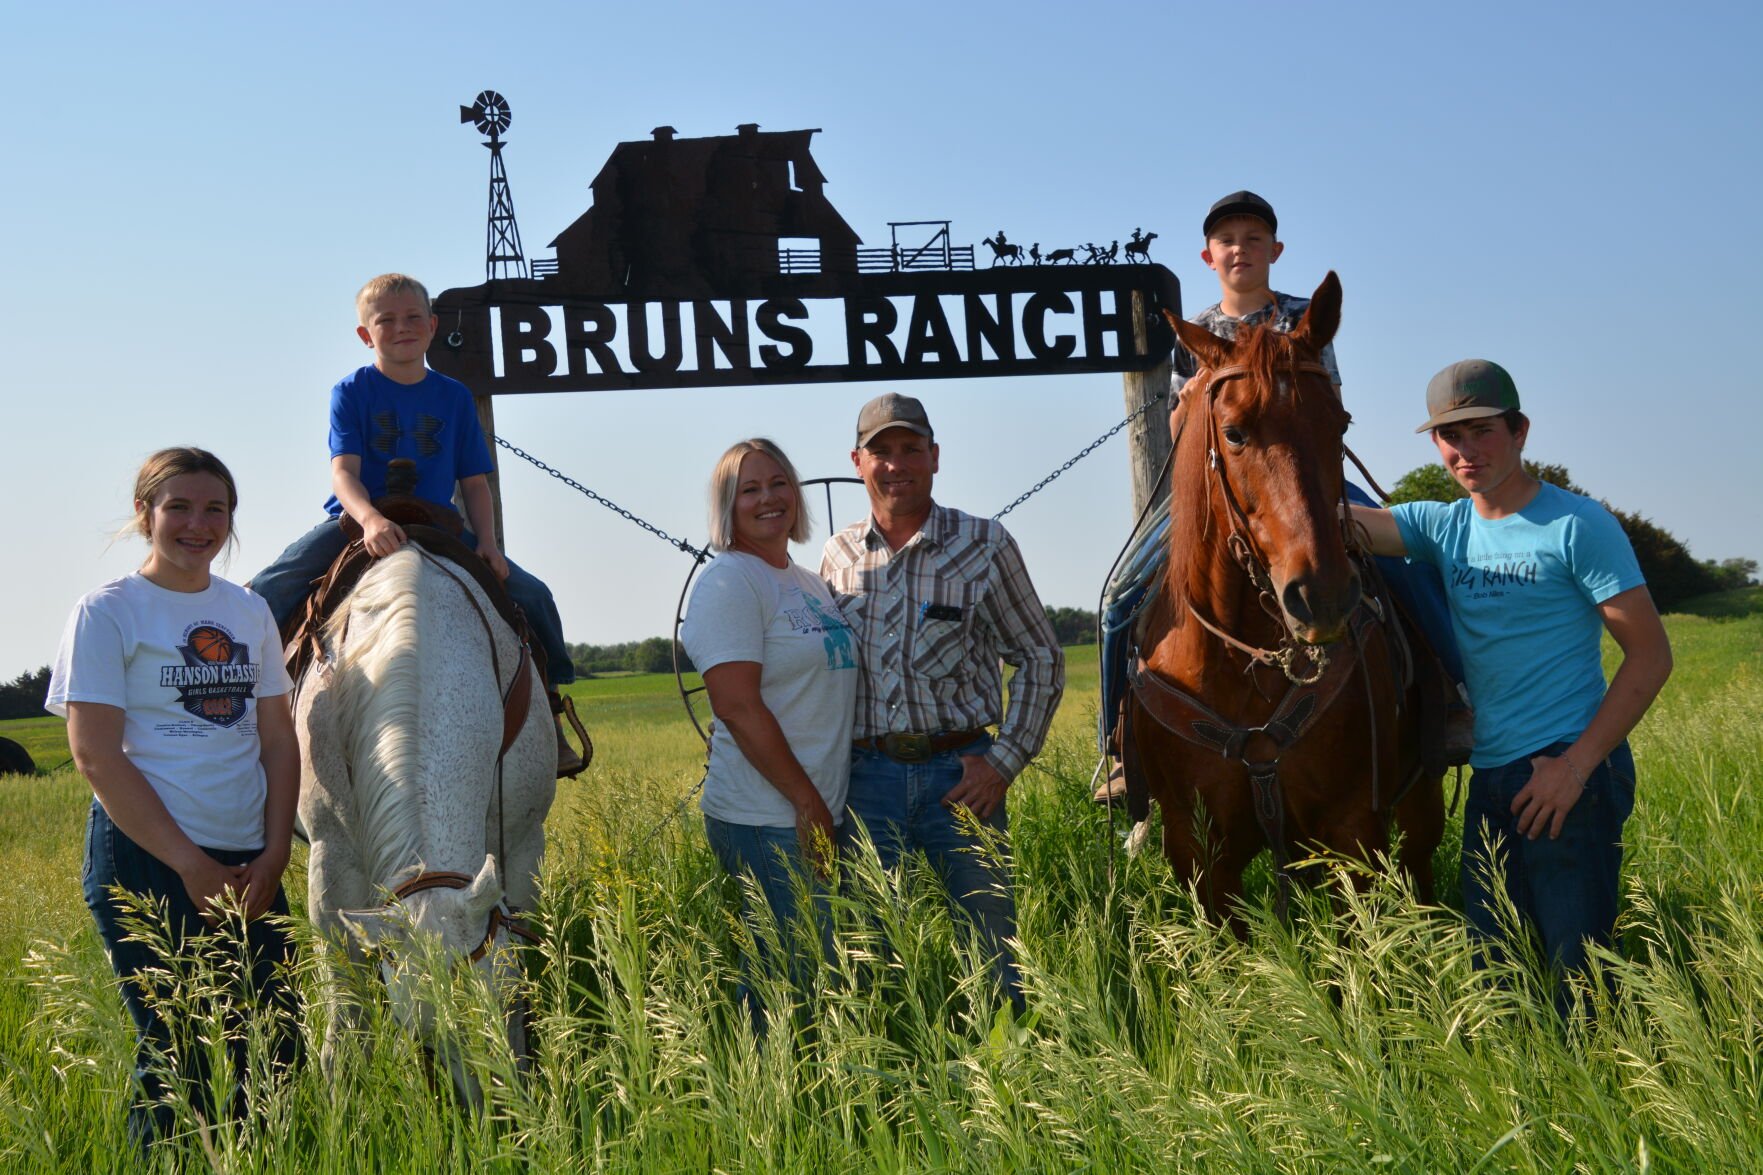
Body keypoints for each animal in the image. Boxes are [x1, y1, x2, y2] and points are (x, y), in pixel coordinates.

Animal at [294, 543, 557, 1093]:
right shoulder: (331, 866)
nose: (486, 1109)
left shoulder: (523, 845)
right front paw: (339, 1096)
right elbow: (344, 1016)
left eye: (502, 1004)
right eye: (423, 1033)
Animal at [1121, 275, 1438, 924]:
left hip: (1420, 804)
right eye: (1234, 432)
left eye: (1340, 424)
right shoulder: (1199, 859)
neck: (1239, 665)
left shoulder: (1353, 838)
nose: (1321, 595)